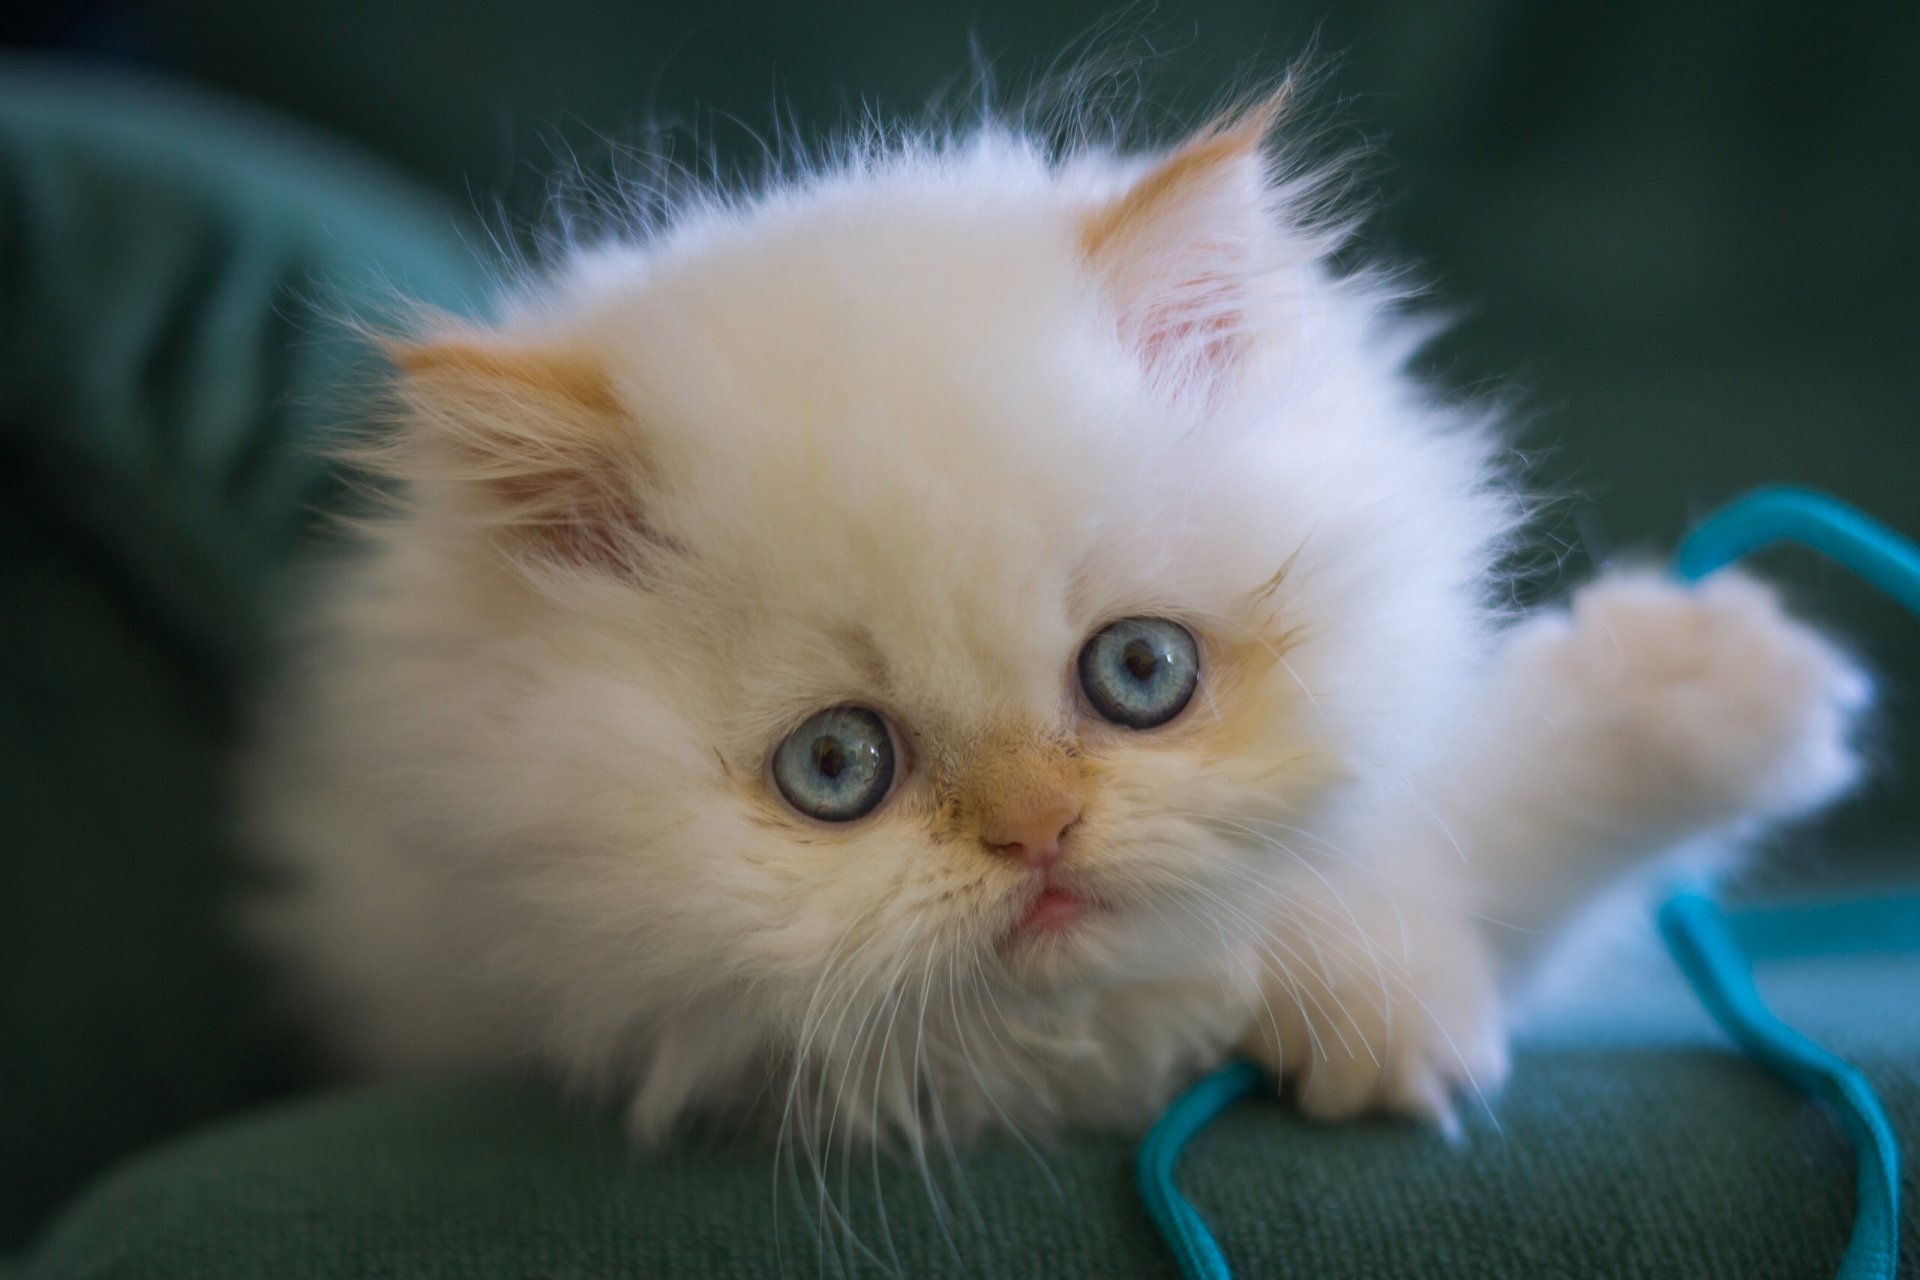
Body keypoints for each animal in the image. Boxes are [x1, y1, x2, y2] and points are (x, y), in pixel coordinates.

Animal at [247, 90, 1866, 1151]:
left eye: (1140, 671)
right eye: (835, 769)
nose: (1040, 834)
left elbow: (1461, 791)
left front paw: (1726, 683)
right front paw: (1385, 1008)